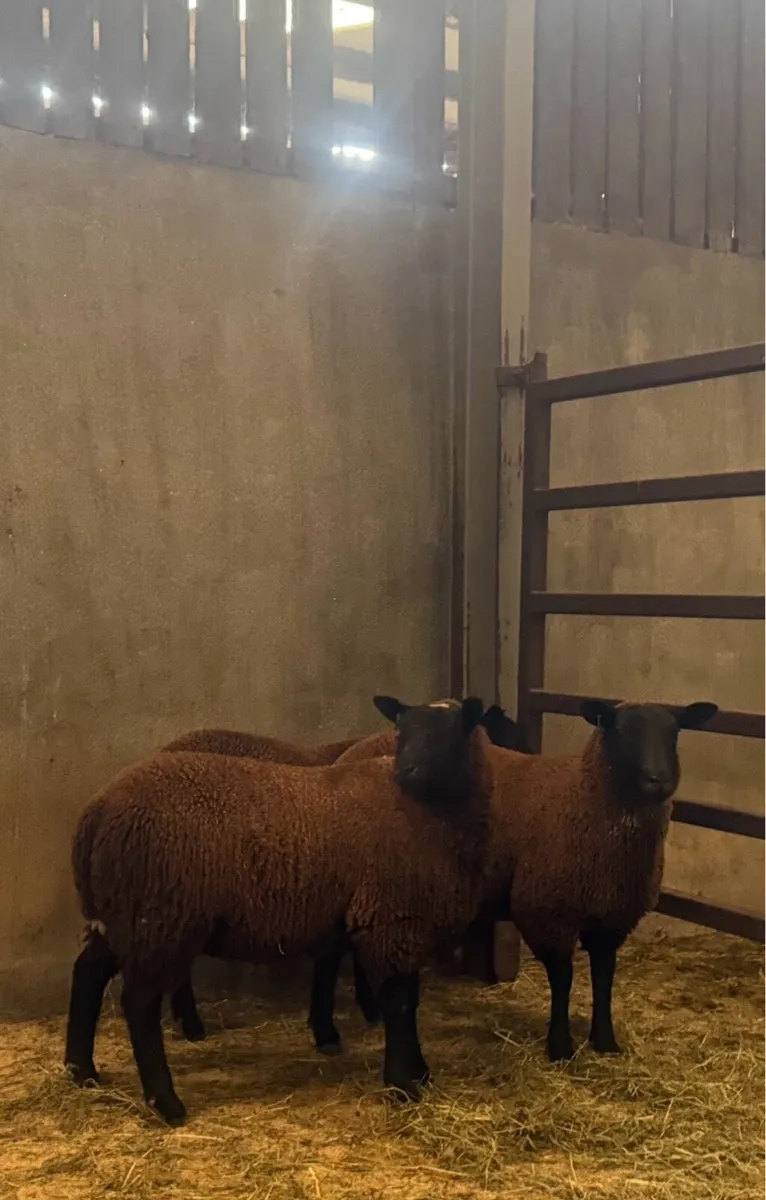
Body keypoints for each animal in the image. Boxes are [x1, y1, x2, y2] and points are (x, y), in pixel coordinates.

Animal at [64, 697, 515, 1125]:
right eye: (401, 731)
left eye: (448, 732)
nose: (406, 772)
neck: (429, 814)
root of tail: (96, 811)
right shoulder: (391, 917)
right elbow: (399, 1004)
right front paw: (403, 1084)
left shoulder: (393, 921)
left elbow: (405, 998)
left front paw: (418, 1073)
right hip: (158, 916)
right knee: (138, 1002)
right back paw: (166, 1102)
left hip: (124, 916)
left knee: (88, 973)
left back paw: (81, 1070)